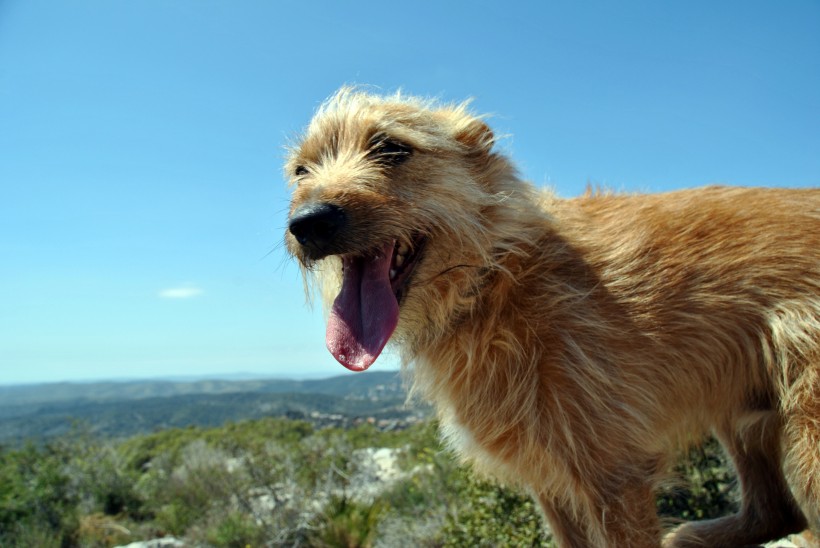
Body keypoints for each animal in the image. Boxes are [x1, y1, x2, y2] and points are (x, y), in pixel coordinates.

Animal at [284, 86, 820, 548]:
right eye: (300, 171)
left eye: (391, 148)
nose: (307, 223)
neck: (496, 280)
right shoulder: (551, 479)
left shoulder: (613, 475)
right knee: (775, 512)